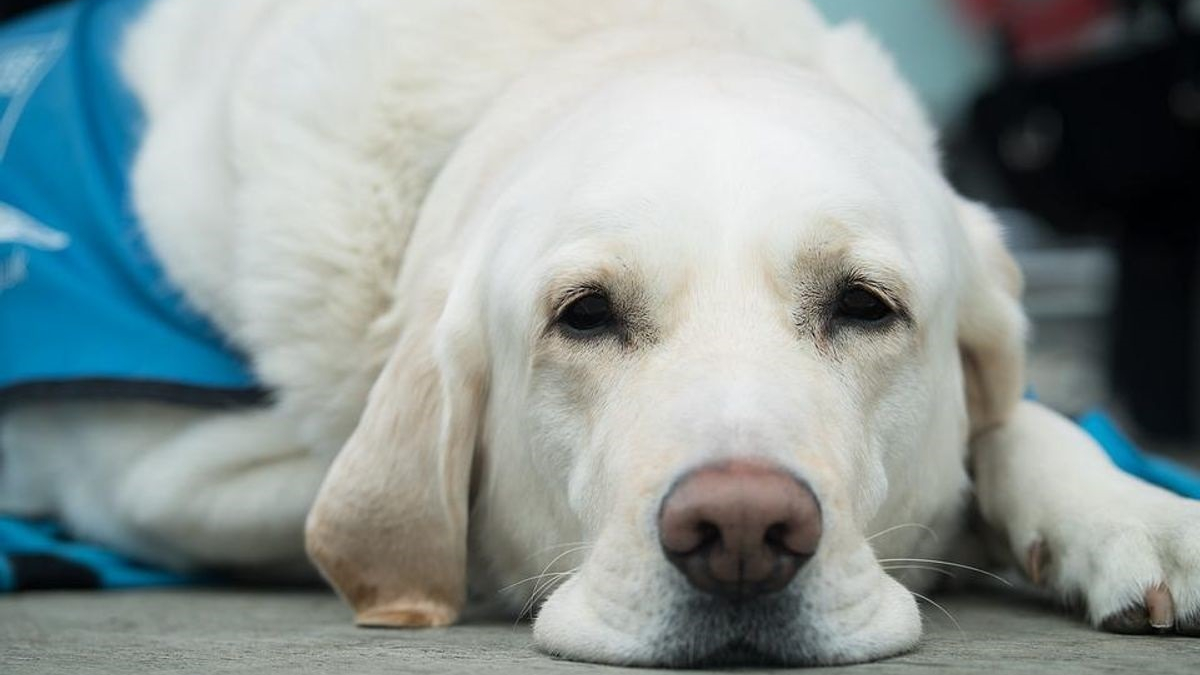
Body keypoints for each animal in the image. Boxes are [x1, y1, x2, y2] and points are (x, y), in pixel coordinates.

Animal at [2, 0, 1200, 662]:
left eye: (865, 304)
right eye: (584, 314)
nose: (741, 533)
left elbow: (1022, 422)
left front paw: (1132, 512)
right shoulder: (159, 475)